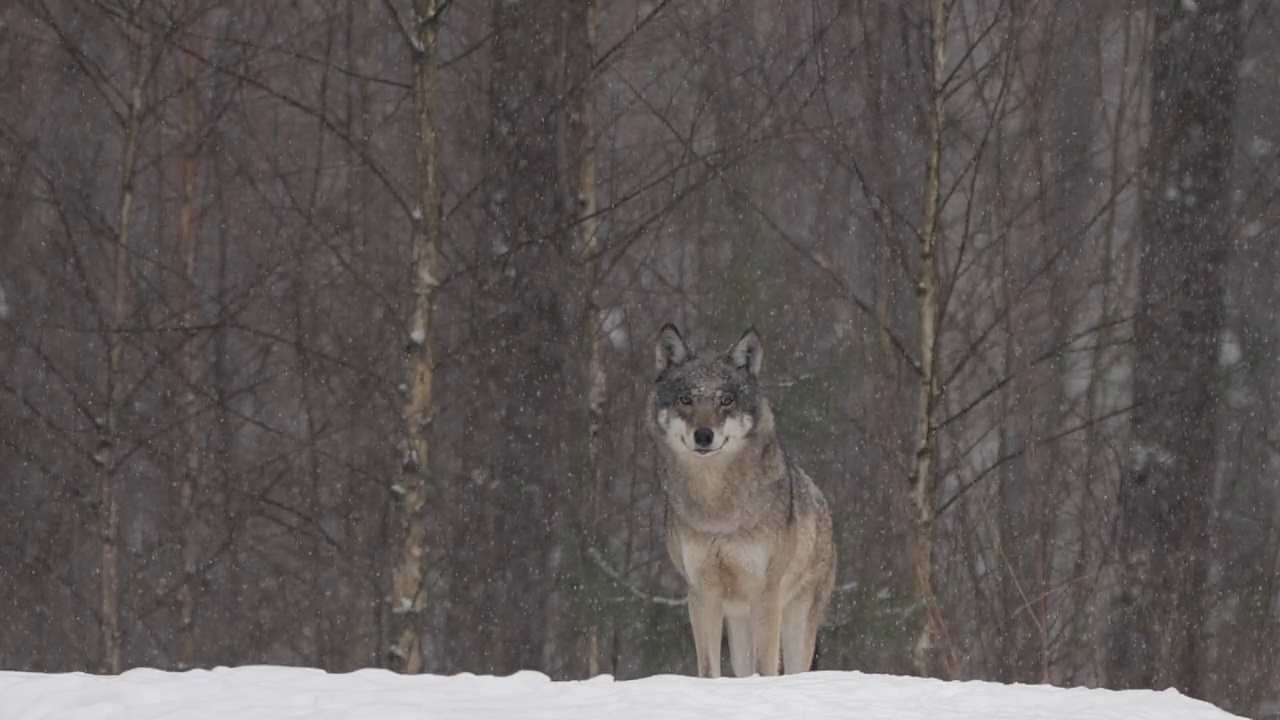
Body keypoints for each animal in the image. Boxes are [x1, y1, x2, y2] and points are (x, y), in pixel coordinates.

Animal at [650, 322, 839, 676]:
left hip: (795, 619)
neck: (717, 509)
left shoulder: (766, 593)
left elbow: (767, 666)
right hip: (738, 621)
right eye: (686, 399)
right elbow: (708, 668)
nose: (704, 435)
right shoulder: (702, 594)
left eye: (725, 400)